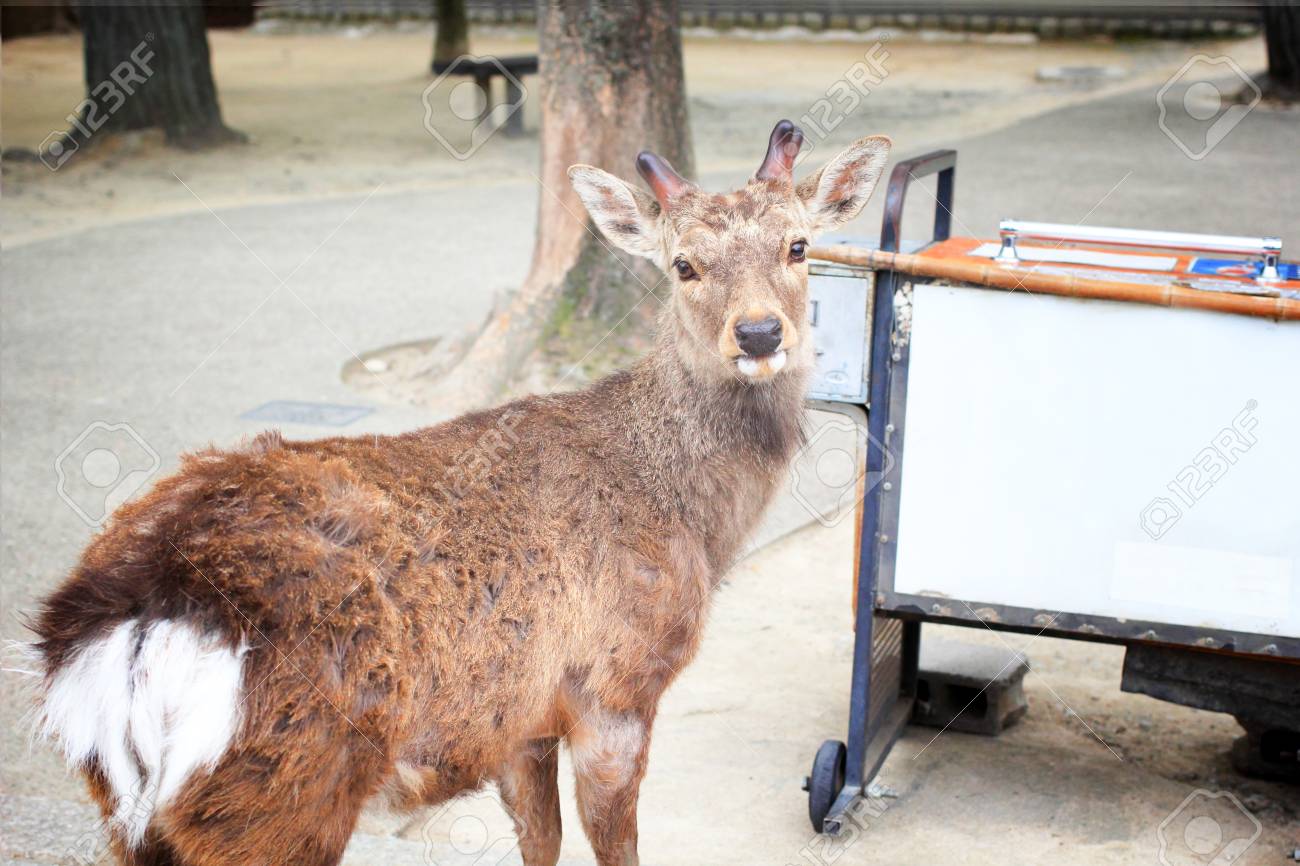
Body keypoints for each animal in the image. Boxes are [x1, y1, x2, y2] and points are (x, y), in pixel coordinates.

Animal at [26, 120, 890, 866]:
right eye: (683, 264)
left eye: (800, 246)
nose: (759, 333)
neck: (696, 525)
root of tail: (137, 613)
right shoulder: (613, 687)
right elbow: (614, 845)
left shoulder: (522, 719)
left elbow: (539, 840)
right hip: (284, 786)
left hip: (130, 811)